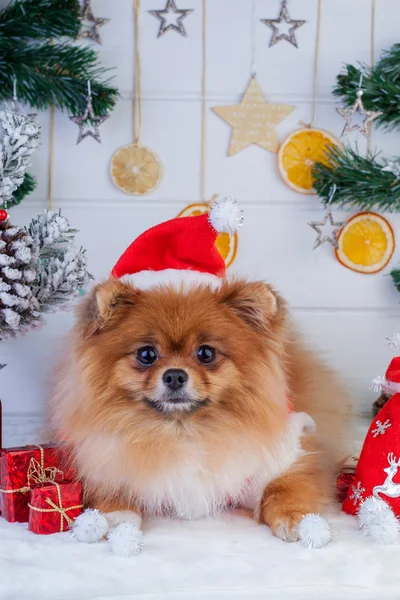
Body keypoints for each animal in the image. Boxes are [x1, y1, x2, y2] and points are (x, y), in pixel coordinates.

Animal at [49, 199, 350, 548]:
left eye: (206, 353)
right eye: (146, 354)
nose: (175, 375)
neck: (183, 431)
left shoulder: (287, 453)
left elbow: (288, 485)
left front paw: (299, 520)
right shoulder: (102, 454)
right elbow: (112, 486)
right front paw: (116, 517)